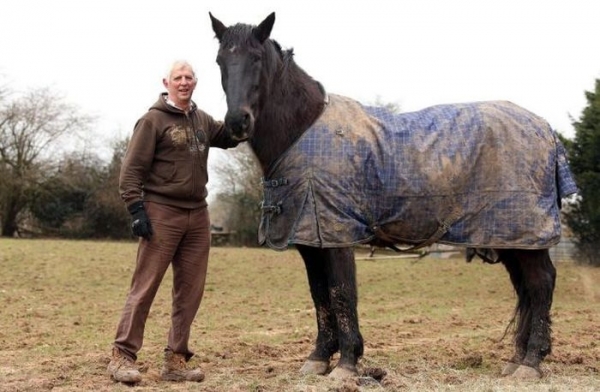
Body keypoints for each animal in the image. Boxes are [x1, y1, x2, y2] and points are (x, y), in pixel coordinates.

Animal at [210, 13, 576, 380]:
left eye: (257, 58)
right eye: (220, 61)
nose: (237, 122)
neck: (305, 131)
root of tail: (545, 128)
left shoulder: (338, 236)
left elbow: (341, 293)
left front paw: (347, 363)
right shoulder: (311, 241)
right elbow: (319, 296)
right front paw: (318, 358)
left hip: (525, 234)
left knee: (541, 283)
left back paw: (530, 362)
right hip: (509, 237)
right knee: (525, 287)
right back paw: (516, 360)